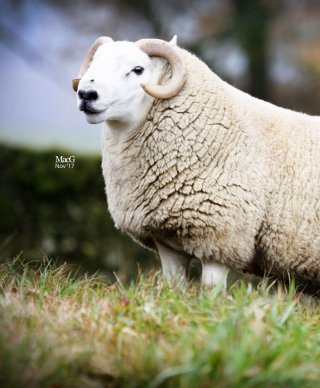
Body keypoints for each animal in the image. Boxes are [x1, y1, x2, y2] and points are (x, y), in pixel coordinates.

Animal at [72, 36, 320, 292]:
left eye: (138, 69)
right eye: (94, 62)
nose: (86, 94)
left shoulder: (220, 238)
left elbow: (211, 292)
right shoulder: (168, 244)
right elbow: (174, 288)